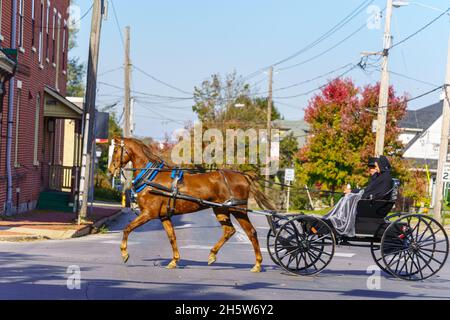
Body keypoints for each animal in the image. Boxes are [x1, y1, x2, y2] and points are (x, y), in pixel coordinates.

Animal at [108, 137, 274, 272]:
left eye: (116, 150)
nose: (110, 170)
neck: (152, 177)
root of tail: (243, 175)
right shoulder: (164, 216)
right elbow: (172, 237)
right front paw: (174, 261)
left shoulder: (148, 214)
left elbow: (127, 228)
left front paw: (124, 253)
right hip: (220, 210)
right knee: (229, 231)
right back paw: (212, 255)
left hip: (238, 209)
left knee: (251, 232)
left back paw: (257, 264)